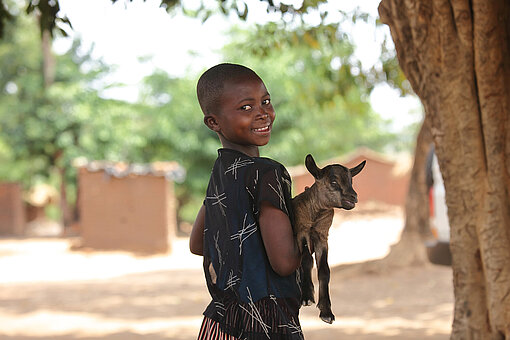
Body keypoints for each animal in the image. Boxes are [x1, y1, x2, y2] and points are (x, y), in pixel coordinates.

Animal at [290, 154, 366, 324]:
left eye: (351, 181)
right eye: (333, 182)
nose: (353, 197)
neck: (315, 214)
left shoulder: (322, 237)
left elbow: (324, 270)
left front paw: (326, 312)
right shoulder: (302, 232)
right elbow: (306, 260)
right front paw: (307, 296)